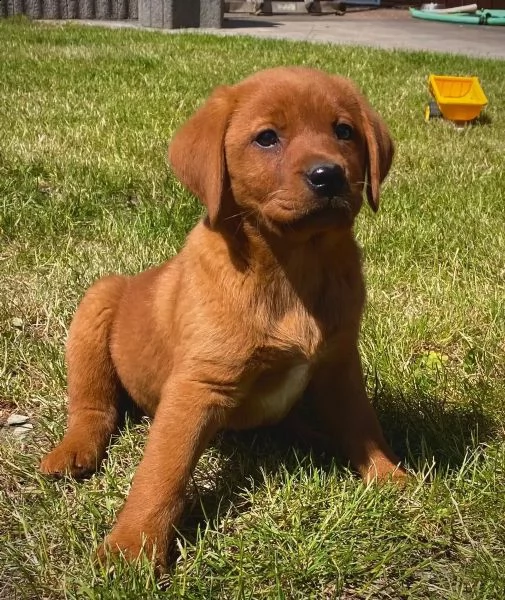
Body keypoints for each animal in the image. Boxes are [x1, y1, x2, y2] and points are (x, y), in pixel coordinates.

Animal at [39, 65, 404, 568]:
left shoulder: (339, 363)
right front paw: (132, 548)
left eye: (344, 131)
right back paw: (74, 451)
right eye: (267, 138)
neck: (294, 266)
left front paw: (389, 476)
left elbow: (362, 423)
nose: (329, 175)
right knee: (93, 404)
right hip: (96, 304)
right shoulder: (198, 385)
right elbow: (162, 472)